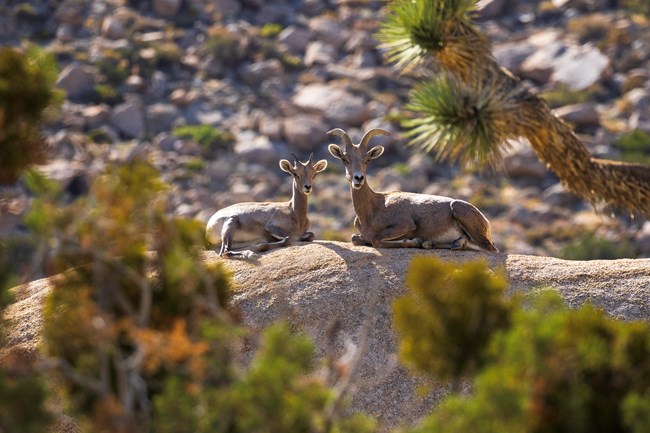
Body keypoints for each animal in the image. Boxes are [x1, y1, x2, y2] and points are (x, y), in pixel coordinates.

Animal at [326, 126, 498, 251]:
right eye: (344, 159)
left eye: (367, 159)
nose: (358, 178)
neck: (372, 210)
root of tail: (486, 221)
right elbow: (355, 239)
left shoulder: (405, 225)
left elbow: (376, 240)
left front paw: (414, 241)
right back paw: (431, 244)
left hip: (461, 213)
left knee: (487, 248)